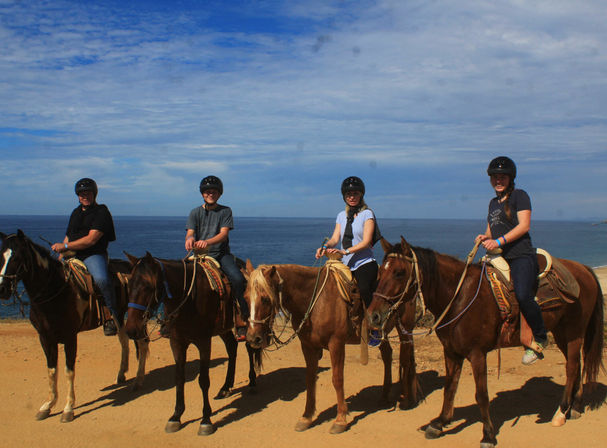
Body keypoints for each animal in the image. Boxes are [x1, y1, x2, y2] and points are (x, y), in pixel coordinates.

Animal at [0, 231, 148, 424]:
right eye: (1, 255)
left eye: (17, 257)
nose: (2, 289)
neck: (55, 290)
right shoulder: (45, 337)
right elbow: (51, 370)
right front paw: (48, 405)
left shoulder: (70, 336)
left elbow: (68, 371)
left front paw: (68, 408)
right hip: (119, 316)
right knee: (124, 341)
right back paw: (122, 374)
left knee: (143, 345)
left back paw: (139, 380)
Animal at [126, 252, 262, 434]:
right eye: (129, 284)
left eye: (148, 286)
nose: (131, 330)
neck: (188, 299)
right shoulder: (177, 343)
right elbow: (179, 378)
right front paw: (176, 416)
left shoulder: (203, 342)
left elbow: (203, 380)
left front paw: (206, 420)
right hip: (223, 329)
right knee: (232, 347)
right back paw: (225, 387)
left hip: (248, 326)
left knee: (249, 348)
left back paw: (252, 383)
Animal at [242, 260, 422, 434]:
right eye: (245, 298)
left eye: (265, 299)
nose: (252, 338)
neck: (315, 300)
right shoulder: (307, 345)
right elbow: (310, 378)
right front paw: (306, 417)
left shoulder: (336, 343)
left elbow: (337, 379)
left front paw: (340, 420)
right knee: (387, 355)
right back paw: (384, 397)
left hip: (405, 327)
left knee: (406, 358)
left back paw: (407, 399)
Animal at [368, 236, 604, 446]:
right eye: (380, 271)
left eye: (399, 272)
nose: (373, 315)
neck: (459, 297)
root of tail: (583, 269)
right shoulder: (451, 352)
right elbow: (449, 387)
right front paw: (440, 423)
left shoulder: (477, 353)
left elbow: (481, 394)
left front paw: (488, 435)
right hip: (562, 333)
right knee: (577, 365)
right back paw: (575, 407)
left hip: (573, 332)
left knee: (572, 367)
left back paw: (561, 412)